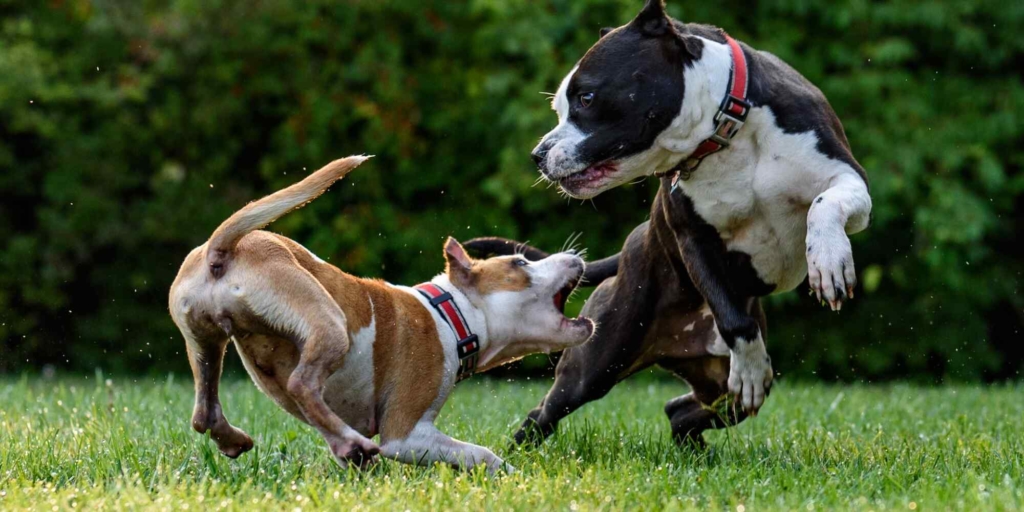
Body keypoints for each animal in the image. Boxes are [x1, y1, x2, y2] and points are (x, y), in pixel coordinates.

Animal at [167, 155, 593, 471]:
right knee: (302, 383)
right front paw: (510, 476)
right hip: (328, 322)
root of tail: (221, 250)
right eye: (520, 263)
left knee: (204, 412)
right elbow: (481, 455)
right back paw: (351, 442)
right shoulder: (406, 434)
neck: (450, 313)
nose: (575, 255)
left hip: (205, 342)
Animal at [466, 0, 872, 446]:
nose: (538, 154)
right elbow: (734, 319)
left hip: (716, 386)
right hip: (597, 362)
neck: (726, 132)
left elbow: (823, 203)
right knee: (547, 411)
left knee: (682, 410)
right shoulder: (692, 237)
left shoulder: (848, 178)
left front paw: (829, 261)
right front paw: (749, 367)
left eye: (586, 98)